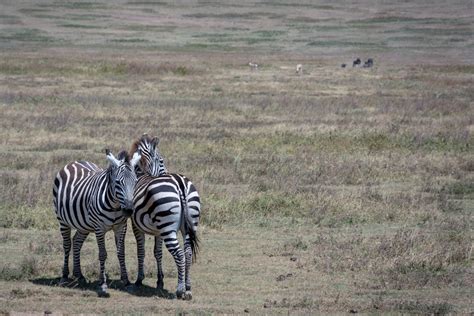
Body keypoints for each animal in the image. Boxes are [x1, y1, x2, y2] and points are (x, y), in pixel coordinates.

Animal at [52, 149, 141, 298]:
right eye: (118, 182)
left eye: (135, 181)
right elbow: (102, 254)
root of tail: (75, 162)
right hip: (62, 220)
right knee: (67, 244)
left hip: (83, 224)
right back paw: (64, 276)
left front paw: (127, 281)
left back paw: (80, 275)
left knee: (77, 241)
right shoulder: (100, 228)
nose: (129, 210)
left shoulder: (121, 227)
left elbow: (121, 252)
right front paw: (103, 284)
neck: (115, 205)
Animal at [129, 135, 201, 300]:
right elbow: (158, 252)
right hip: (188, 223)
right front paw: (160, 281)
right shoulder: (158, 231)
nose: (166, 171)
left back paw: (180, 290)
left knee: (179, 254)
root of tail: (180, 184)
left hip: (168, 229)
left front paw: (139, 280)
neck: (142, 174)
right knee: (187, 252)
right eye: (161, 161)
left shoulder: (136, 226)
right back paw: (188, 288)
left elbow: (140, 251)